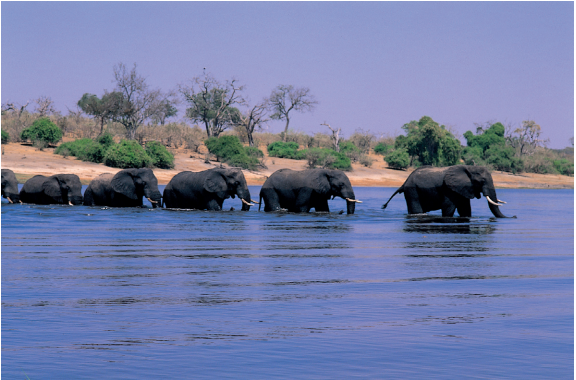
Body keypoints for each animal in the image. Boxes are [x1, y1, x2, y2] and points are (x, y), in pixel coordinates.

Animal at [382, 166, 512, 218]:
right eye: (482, 181)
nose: (514, 216)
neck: (469, 168)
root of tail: (404, 182)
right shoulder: (449, 189)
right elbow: (448, 207)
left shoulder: (463, 188)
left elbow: (465, 209)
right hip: (412, 190)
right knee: (416, 209)